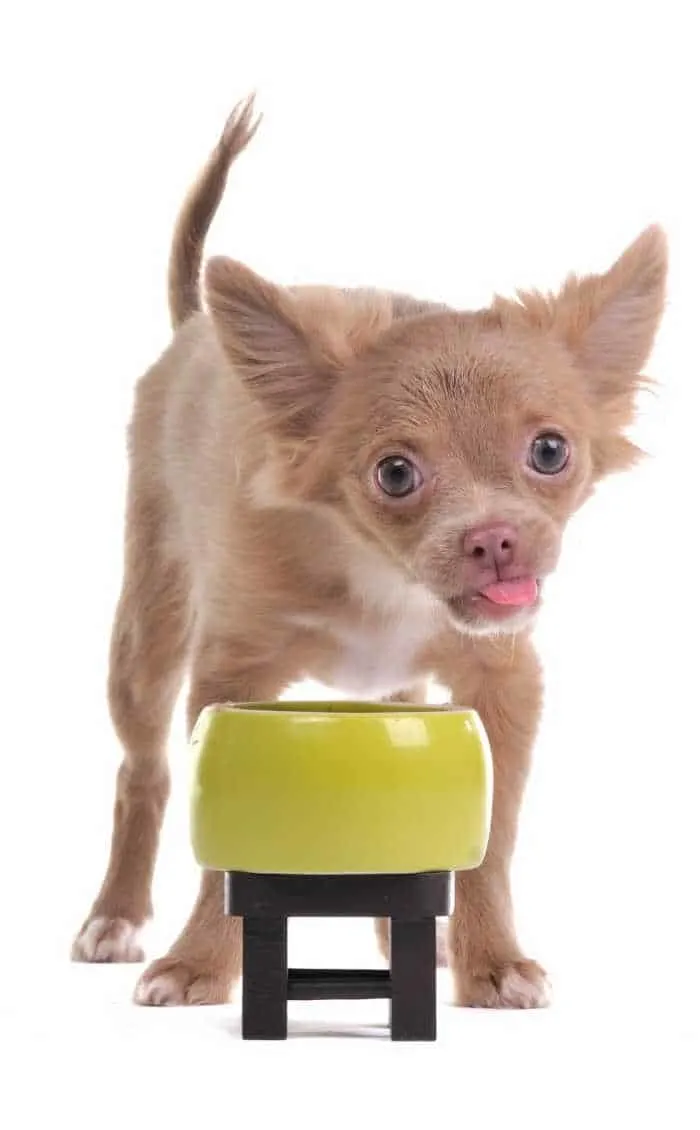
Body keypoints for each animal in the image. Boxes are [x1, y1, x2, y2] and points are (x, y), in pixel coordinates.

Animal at [72, 92, 669, 1003]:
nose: (496, 538)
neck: (381, 575)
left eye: (551, 452)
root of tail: (194, 327)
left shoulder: (501, 683)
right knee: (141, 772)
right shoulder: (231, 679)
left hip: (403, 691)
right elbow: (222, 854)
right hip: (148, 636)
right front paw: (200, 962)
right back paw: (115, 914)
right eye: (395, 473)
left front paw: (493, 961)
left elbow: (489, 845)